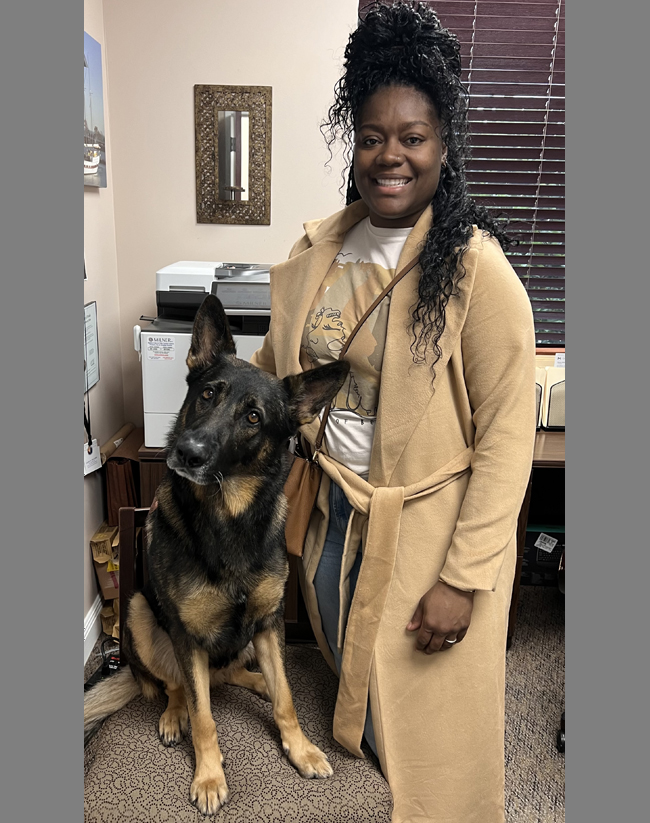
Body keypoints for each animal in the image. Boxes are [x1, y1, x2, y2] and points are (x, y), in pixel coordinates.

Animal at [86, 296, 350, 816]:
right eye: (207, 394)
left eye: (253, 418)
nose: (186, 453)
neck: (230, 516)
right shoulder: (186, 636)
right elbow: (203, 713)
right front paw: (209, 776)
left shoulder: (269, 623)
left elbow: (287, 700)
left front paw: (301, 749)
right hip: (140, 612)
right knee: (176, 686)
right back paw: (174, 715)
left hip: (245, 641)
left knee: (236, 675)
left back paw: (257, 681)